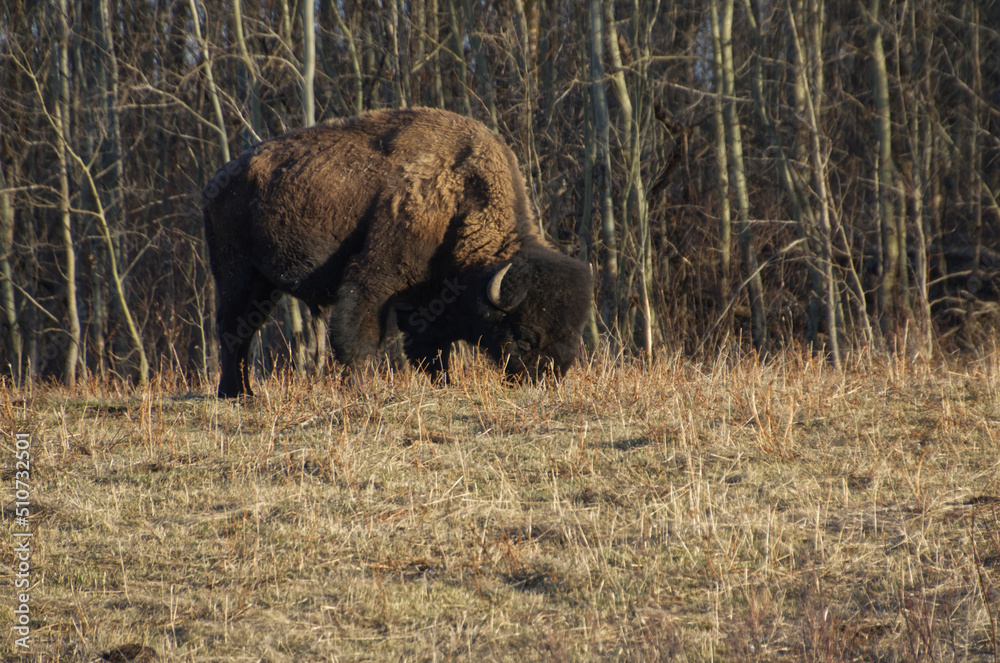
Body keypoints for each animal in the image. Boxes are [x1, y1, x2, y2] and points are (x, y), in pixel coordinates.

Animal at [203, 108, 592, 397]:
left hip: (263, 284)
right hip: (237, 275)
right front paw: (358, 389)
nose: (544, 382)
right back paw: (235, 393)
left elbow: (432, 348)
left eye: (572, 334)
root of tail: (218, 179)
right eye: (525, 335)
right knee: (233, 330)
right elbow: (359, 336)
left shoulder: (427, 298)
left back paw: (244, 392)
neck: (460, 199)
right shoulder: (375, 279)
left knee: (244, 331)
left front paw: (444, 384)